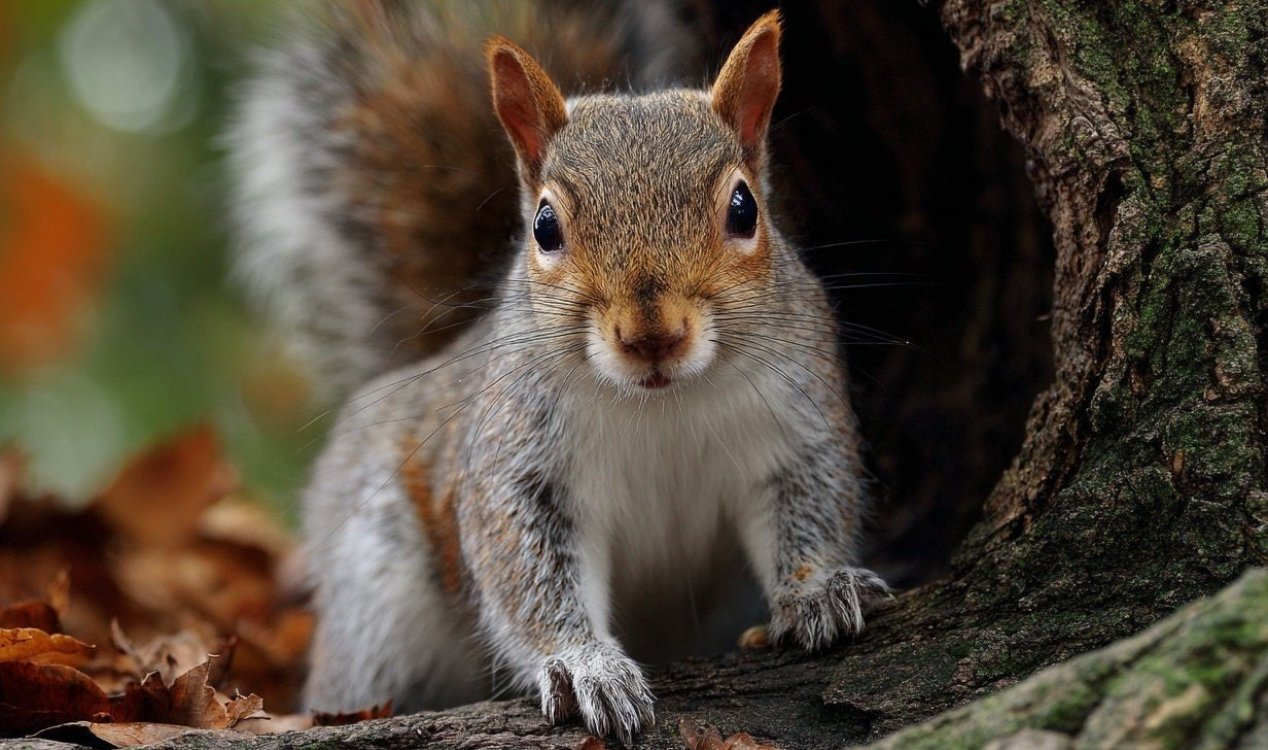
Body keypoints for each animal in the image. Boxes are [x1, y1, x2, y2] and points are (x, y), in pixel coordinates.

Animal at [229, 1, 887, 743]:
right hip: (377, 595)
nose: (652, 336)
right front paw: (584, 666)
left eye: (744, 209)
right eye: (545, 226)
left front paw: (817, 591)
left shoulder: (797, 420)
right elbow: (527, 569)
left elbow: (811, 504)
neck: (661, 404)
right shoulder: (517, 460)